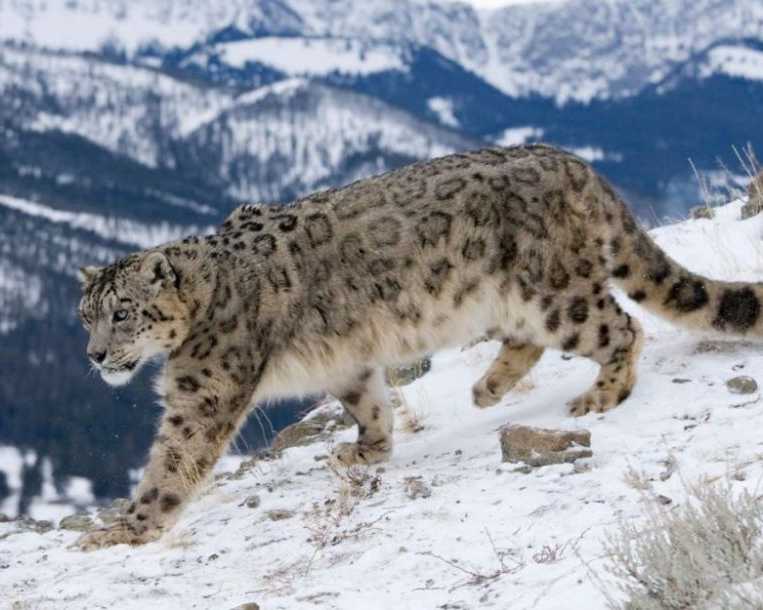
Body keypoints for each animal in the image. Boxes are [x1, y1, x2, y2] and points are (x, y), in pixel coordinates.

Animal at [76, 144, 763, 550]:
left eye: (123, 313)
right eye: (85, 316)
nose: (94, 356)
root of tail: (572, 161)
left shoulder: (206, 387)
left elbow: (173, 460)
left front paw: (126, 529)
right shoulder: (346, 360)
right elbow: (367, 399)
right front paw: (366, 450)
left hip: (552, 291)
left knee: (619, 327)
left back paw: (600, 394)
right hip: (516, 300)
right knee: (533, 339)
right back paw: (487, 388)